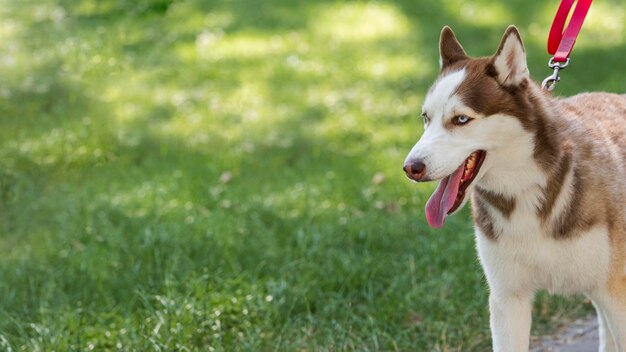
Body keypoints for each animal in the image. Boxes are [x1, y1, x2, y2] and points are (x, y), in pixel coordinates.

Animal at [402, 26, 624, 350]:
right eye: (426, 118)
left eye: (461, 119)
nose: (410, 167)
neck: (525, 189)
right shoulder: (507, 298)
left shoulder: (615, 293)